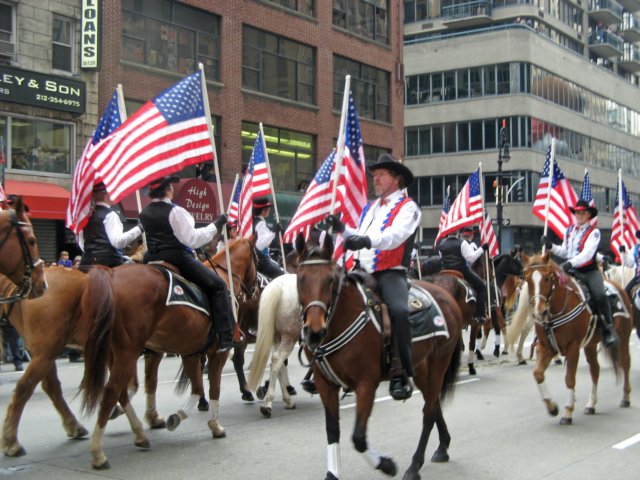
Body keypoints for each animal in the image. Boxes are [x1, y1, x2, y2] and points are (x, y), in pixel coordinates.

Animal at [80, 236, 258, 468]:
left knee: (119, 391)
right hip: (127, 352)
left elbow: (193, 387)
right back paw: (98, 452)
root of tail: (110, 278)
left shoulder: (189, 352)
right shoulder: (217, 352)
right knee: (111, 391)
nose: (255, 289)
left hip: (115, 353)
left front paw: (175, 416)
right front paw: (215, 425)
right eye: (258, 258)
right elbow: (214, 387)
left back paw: (138, 434)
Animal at [248, 274, 302, 416]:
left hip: (279, 337)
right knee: (277, 359)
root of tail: (278, 285)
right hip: (289, 337)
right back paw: (268, 404)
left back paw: (287, 400)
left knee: (279, 364)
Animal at [292, 235, 462, 480]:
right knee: (434, 404)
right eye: (300, 278)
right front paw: (332, 473)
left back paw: (414, 466)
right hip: (420, 368)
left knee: (429, 412)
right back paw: (442, 447)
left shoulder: (366, 385)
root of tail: (447, 297)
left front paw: (387, 465)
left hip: (438, 365)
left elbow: (358, 439)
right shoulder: (326, 385)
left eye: (331, 280)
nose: (314, 332)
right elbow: (332, 431)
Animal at [508, 251, 632, 424]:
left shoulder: (572, 347)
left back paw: (625, 397)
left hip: (624, 337)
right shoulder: (545, 347)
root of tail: (620, 288)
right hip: (590, 345)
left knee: (625, 363)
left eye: (547, 278)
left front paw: (567, 412)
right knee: (595, 370)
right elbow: (538, 374)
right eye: (527, 279)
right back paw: (591, 405)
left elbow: (570, 379)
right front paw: (552, 407)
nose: (540, 311)